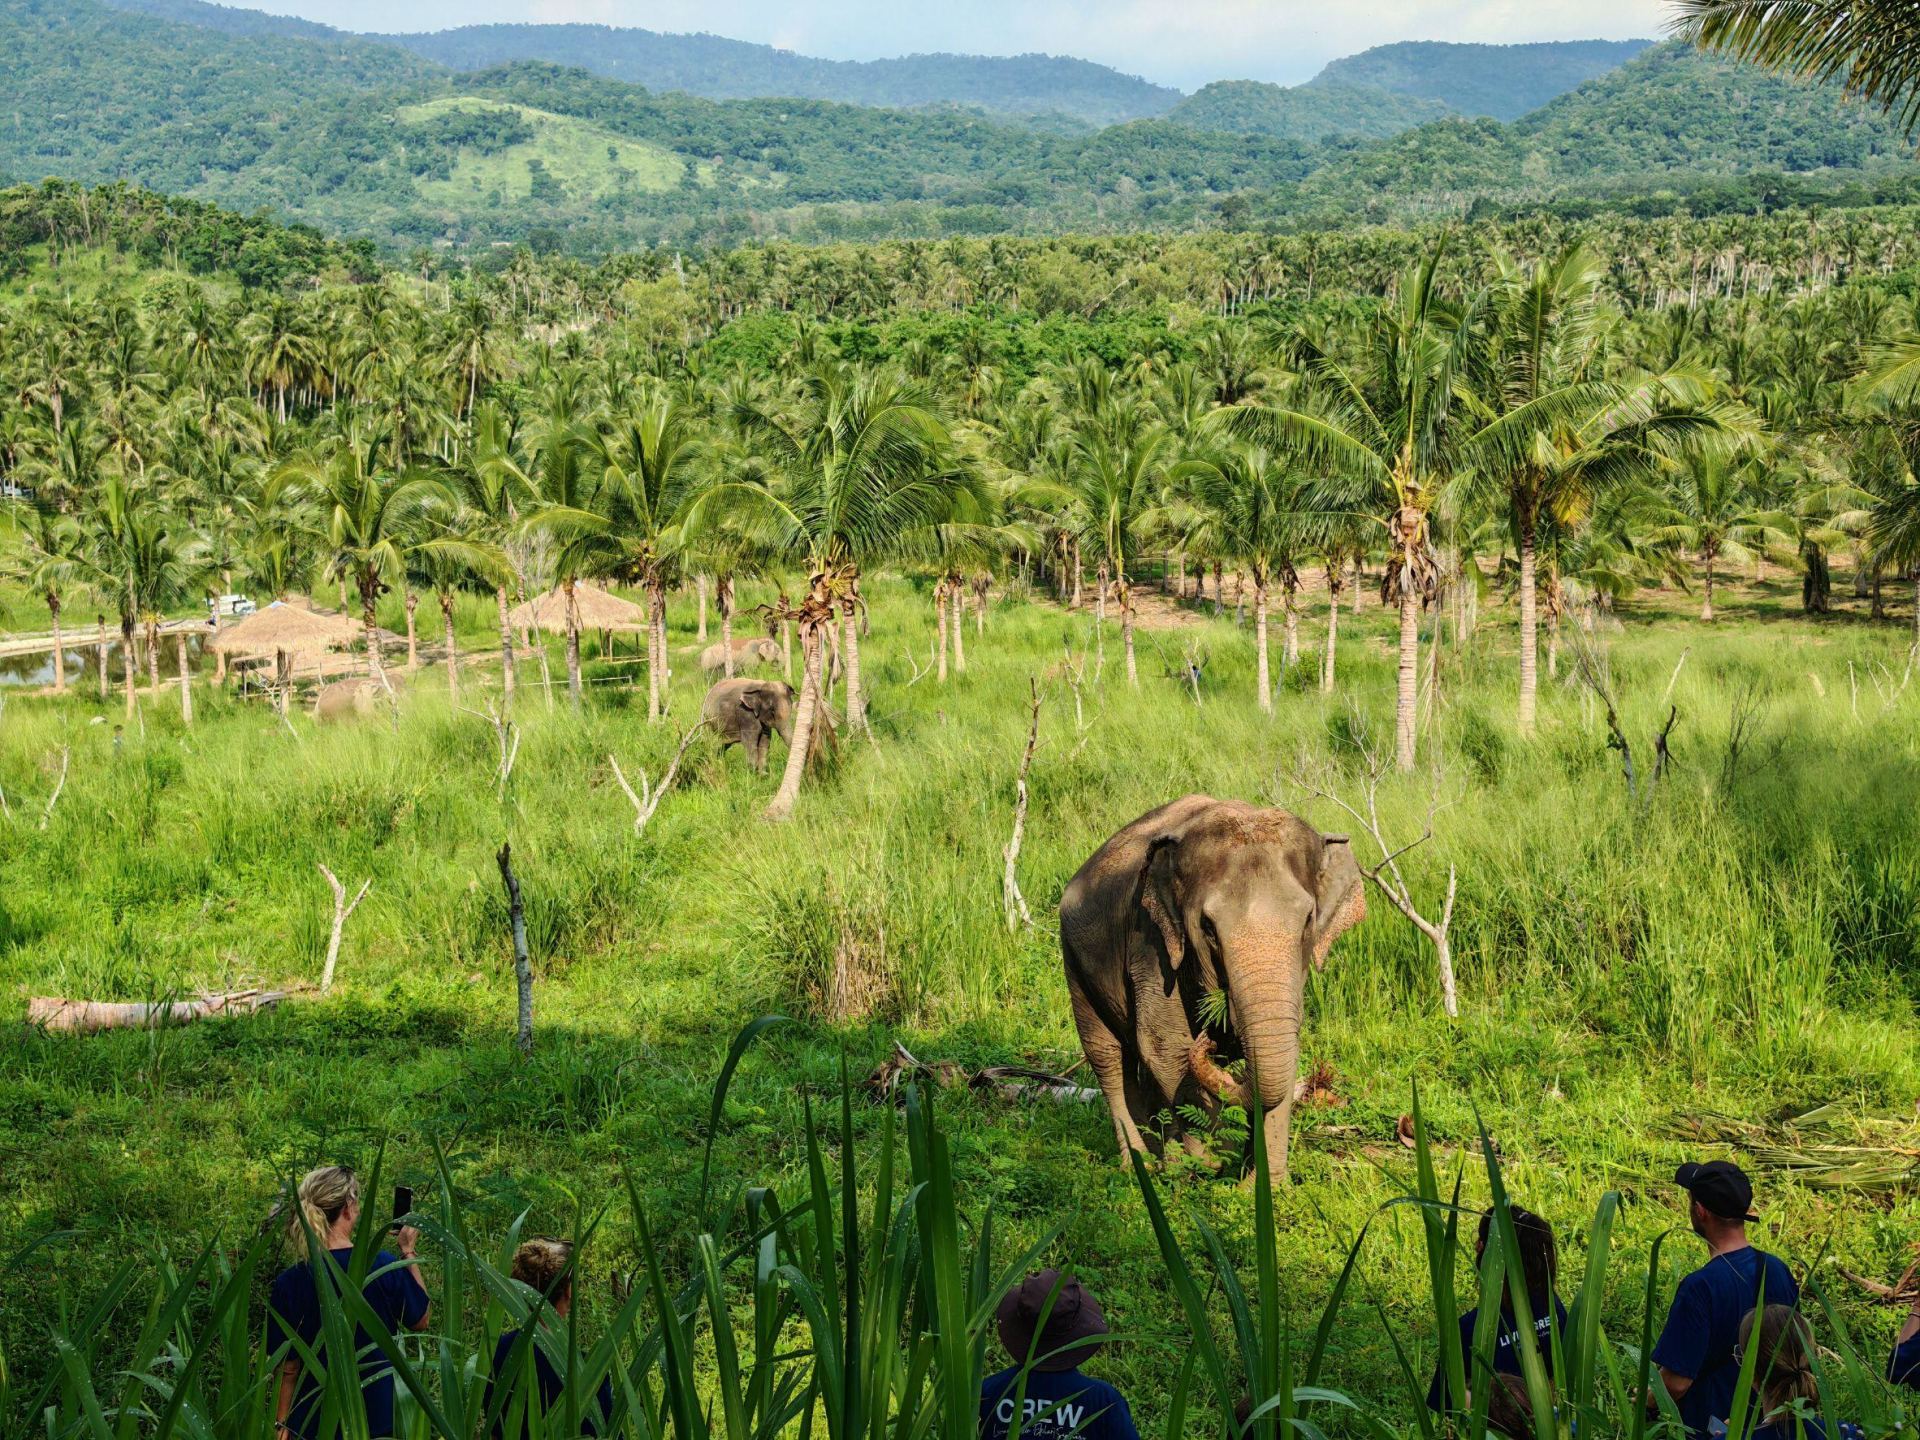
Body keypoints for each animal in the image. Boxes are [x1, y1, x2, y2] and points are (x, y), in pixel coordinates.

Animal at [1058, 795, 1365, 1186]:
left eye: (1308, 920)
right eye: (1207, 927)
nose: (1211, 1040)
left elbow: (1287, 1050)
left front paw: (1263, 1187)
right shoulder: (1151, 942)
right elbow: (1166, 1045)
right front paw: (1210, 1160)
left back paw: (1165, 1157)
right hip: (1074, 957)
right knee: (1108, 1055)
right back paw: (1143, 1166)